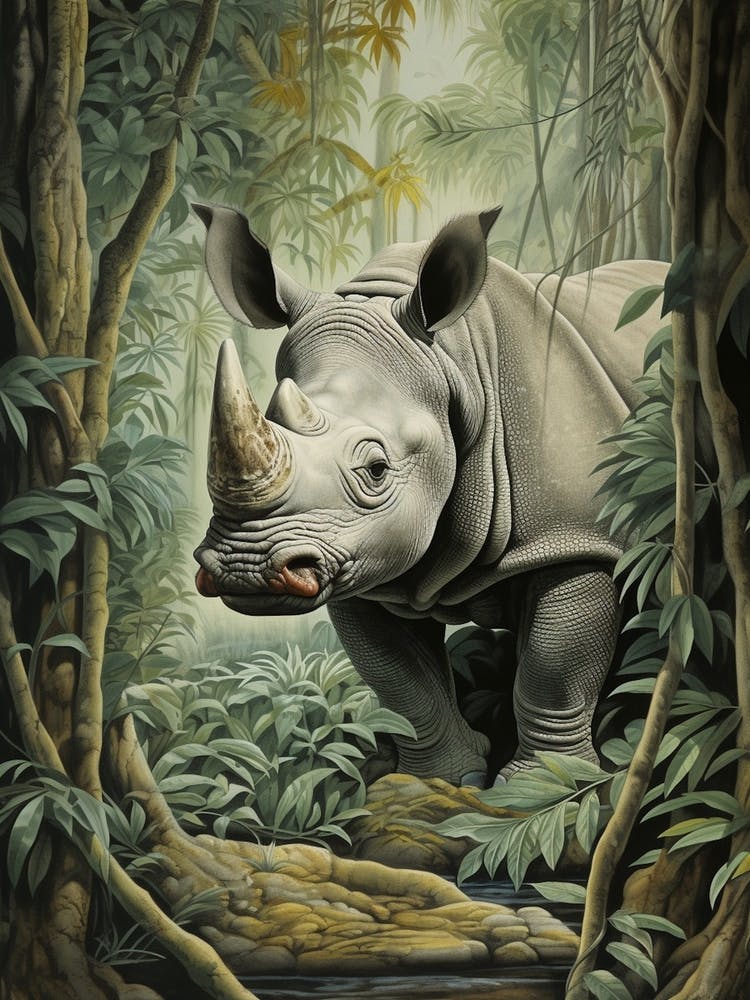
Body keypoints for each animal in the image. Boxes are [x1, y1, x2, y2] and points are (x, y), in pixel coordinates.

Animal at [192, 204, 667, 786]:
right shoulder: (363, 557)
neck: (459, 367)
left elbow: (553, 669)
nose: (246, 569)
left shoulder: (573, 534)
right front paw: (436, 780)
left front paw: (541, 788)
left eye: (376, 470)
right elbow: (402, 683)